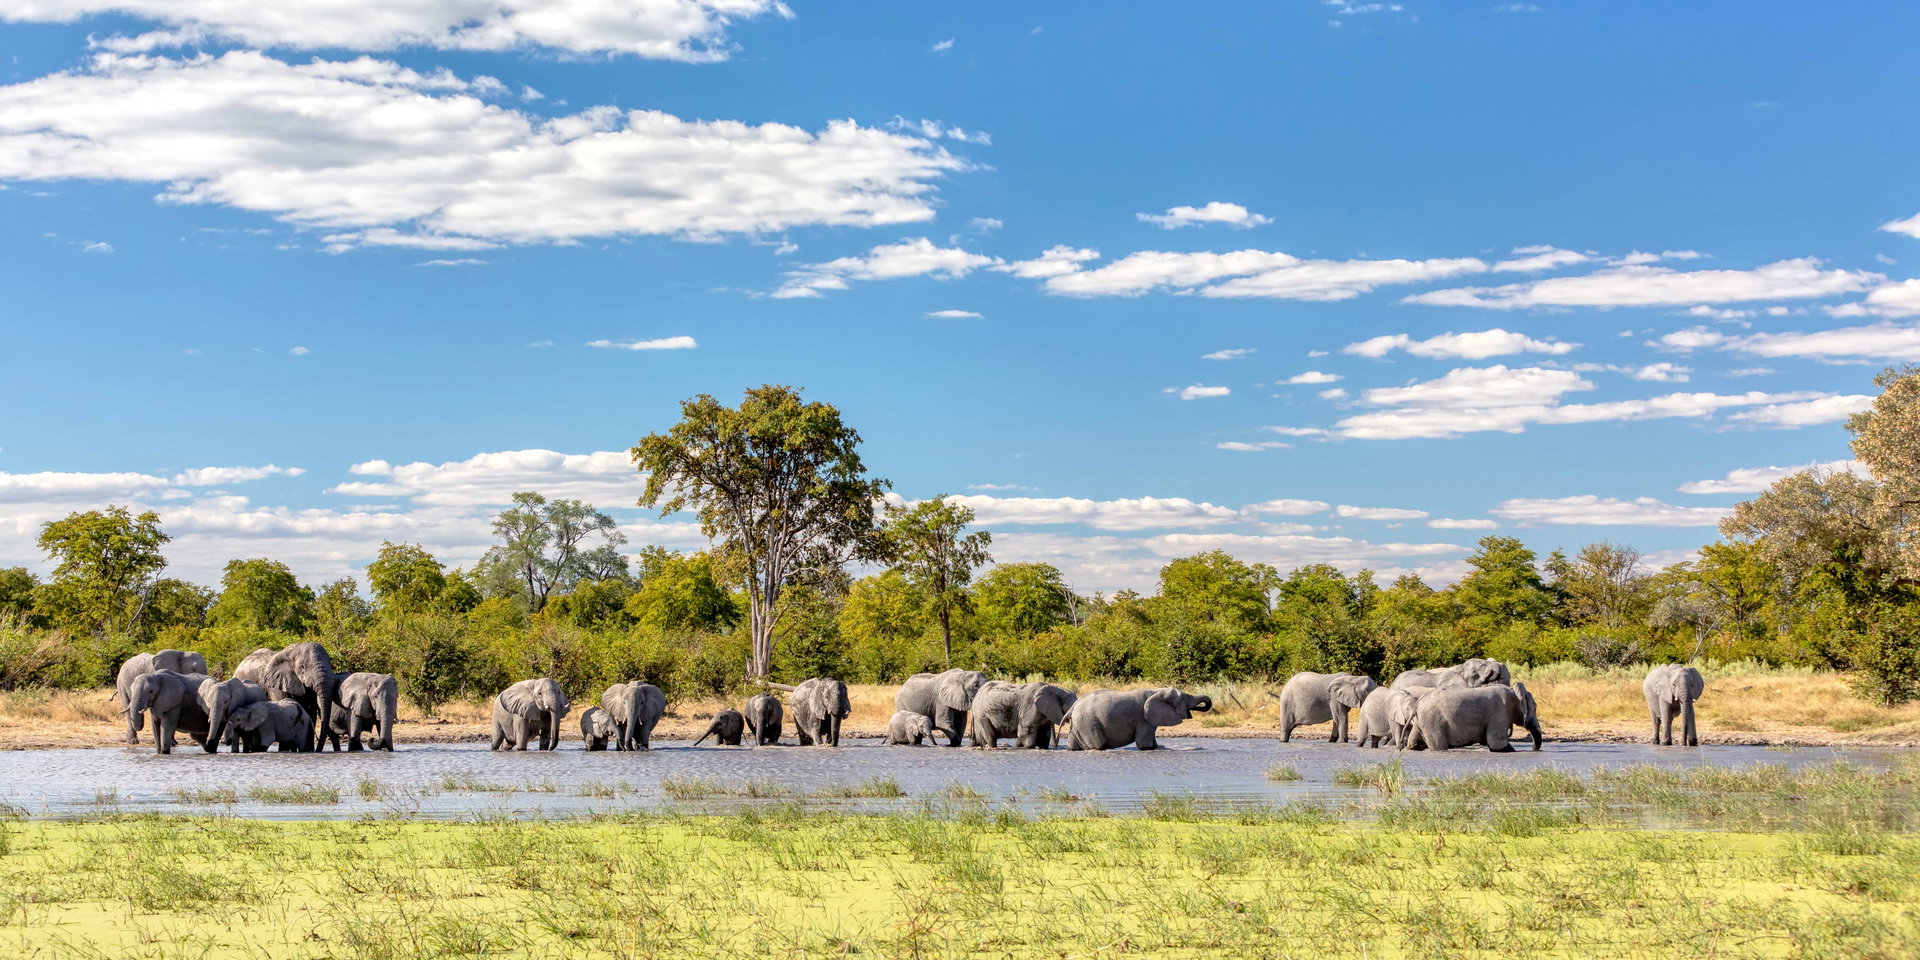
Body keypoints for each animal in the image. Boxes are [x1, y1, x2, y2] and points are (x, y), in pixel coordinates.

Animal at [1066, 687, 1212, 751]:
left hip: (1079, 724)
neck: (1156, 691)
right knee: (1099, 745)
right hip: (1088, 723)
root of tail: (1073, 707)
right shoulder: (1143, 719)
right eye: (1184, 698)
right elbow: (1144, 745)